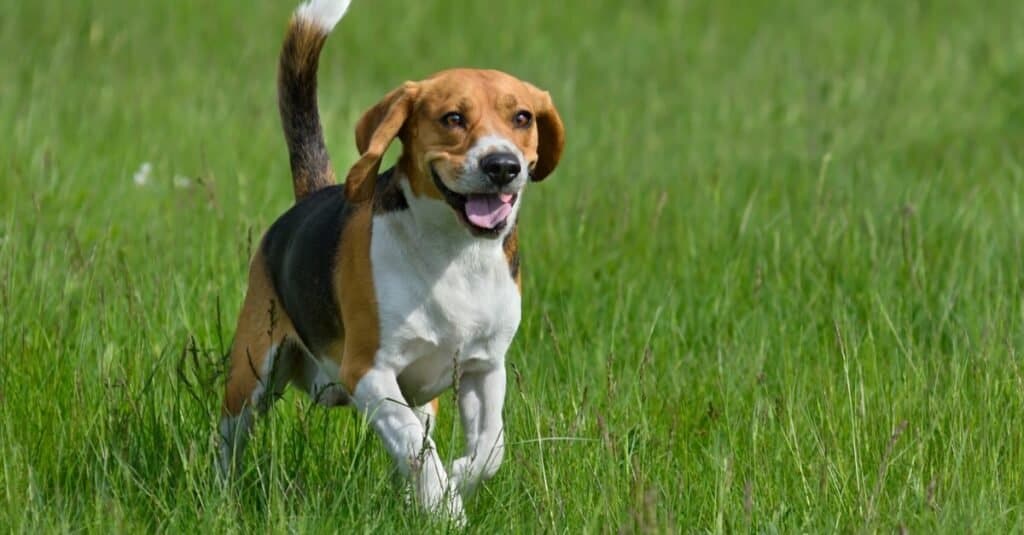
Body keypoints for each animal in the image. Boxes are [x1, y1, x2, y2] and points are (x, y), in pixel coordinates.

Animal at [218, 0, 569, 520]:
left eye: (522, 117)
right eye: (452, 118)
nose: (502, 165)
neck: (456, 253)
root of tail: (312, 196)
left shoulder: (486, 367)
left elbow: (490, 448)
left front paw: (457, 478)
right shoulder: (369, 372)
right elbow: (414, 447)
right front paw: (445, 507)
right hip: (252, 371)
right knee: (228, 439)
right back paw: (218, 495)